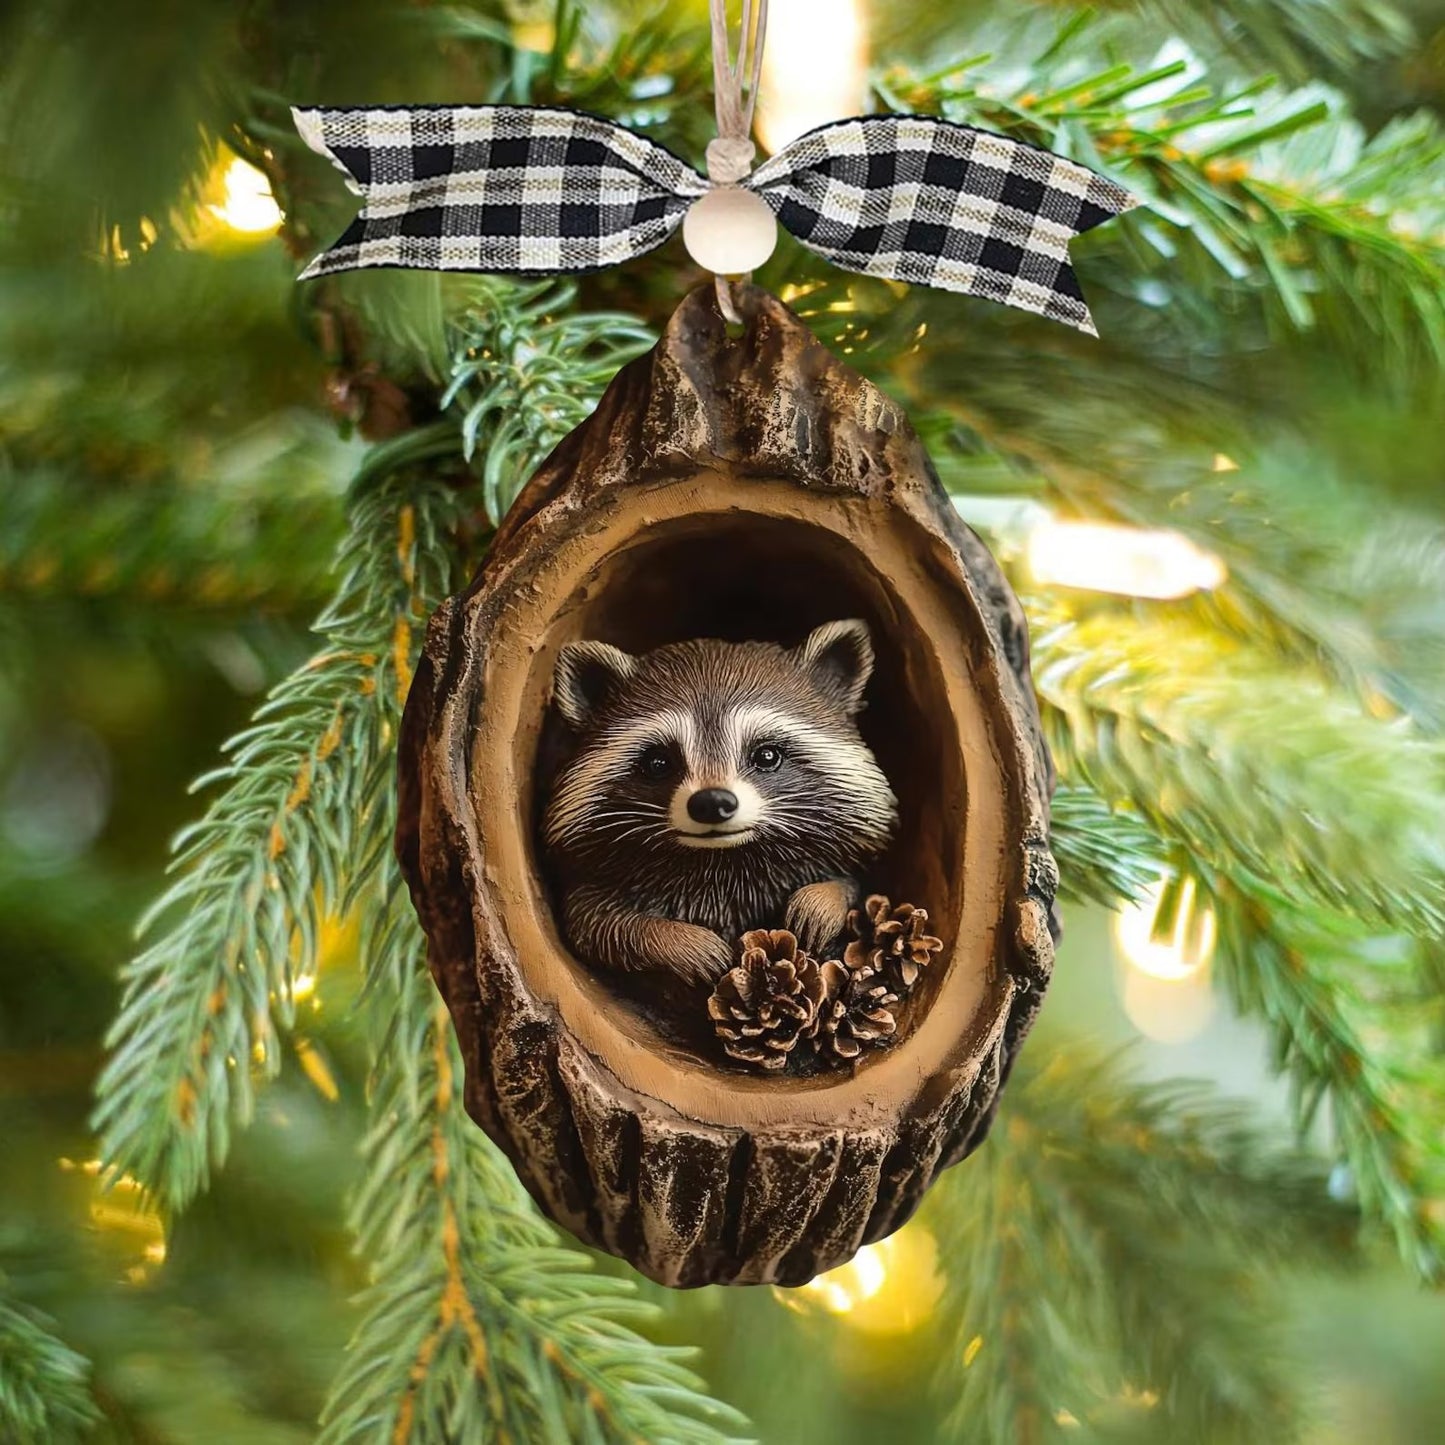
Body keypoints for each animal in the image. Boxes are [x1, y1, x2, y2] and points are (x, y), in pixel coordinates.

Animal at [543, 619, 899, 987]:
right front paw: (680, 942)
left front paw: (821, 900)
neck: (723, 860)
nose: (712, 802)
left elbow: (854, 884)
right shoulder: (592, 884)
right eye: (658, 763)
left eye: (766, 755)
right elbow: (598, 926)